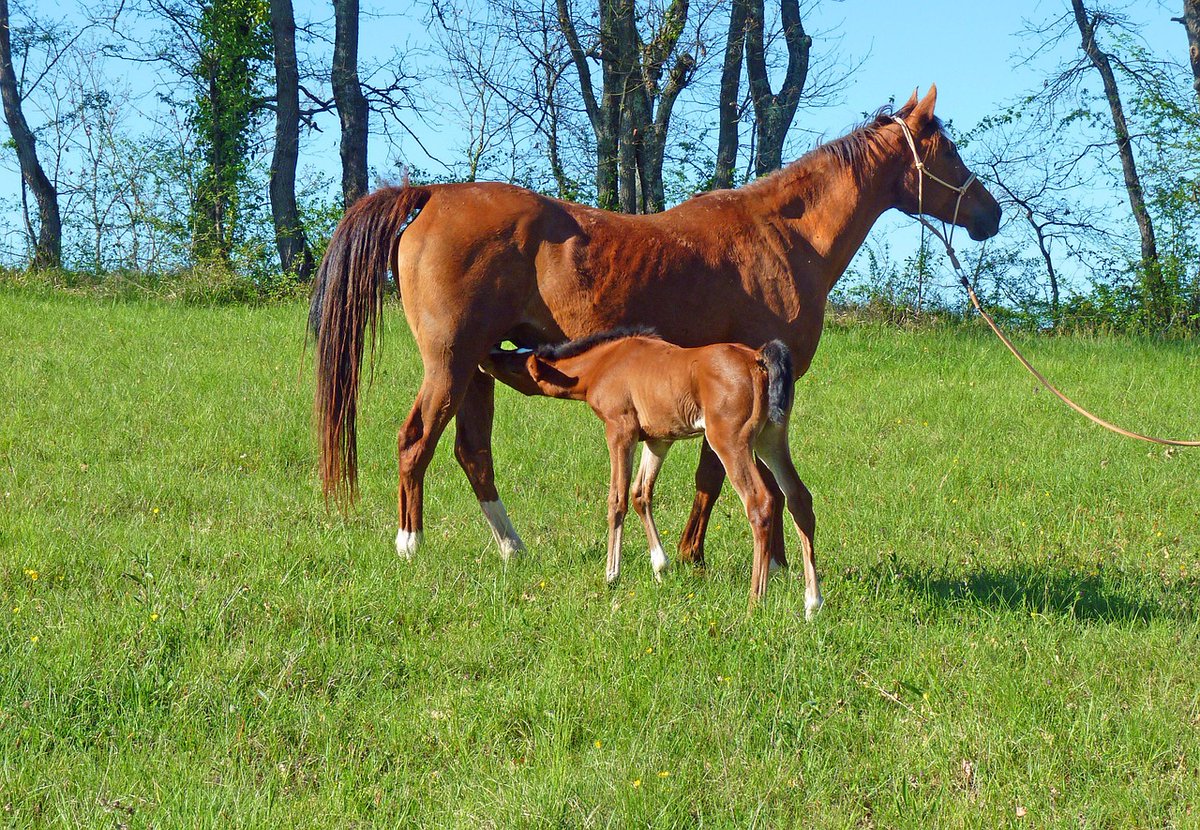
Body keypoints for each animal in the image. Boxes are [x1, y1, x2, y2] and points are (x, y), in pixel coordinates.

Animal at [310, 86, 1001, 572]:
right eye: (948, 150)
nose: (990, 214)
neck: (783, 237)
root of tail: (432, 194)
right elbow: (718, 477)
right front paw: (716, 558)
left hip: (480, 366)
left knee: (472, 454)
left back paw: (513, 550)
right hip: (449, 365)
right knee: (416, 443)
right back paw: (410, 545)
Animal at [482, 330, 823, 616]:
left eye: (515, 366)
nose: (488, 353)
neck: (604, 364)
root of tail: (758, 359)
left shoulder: (620, 430)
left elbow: (617, 499)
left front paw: (611, 575)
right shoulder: (658, 438)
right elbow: (640, 493)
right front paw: (660, 567)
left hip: (730, 441)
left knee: (761, 502)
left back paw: (755, 601)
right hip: (771, 438)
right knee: (799, 499)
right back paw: (812, 603)